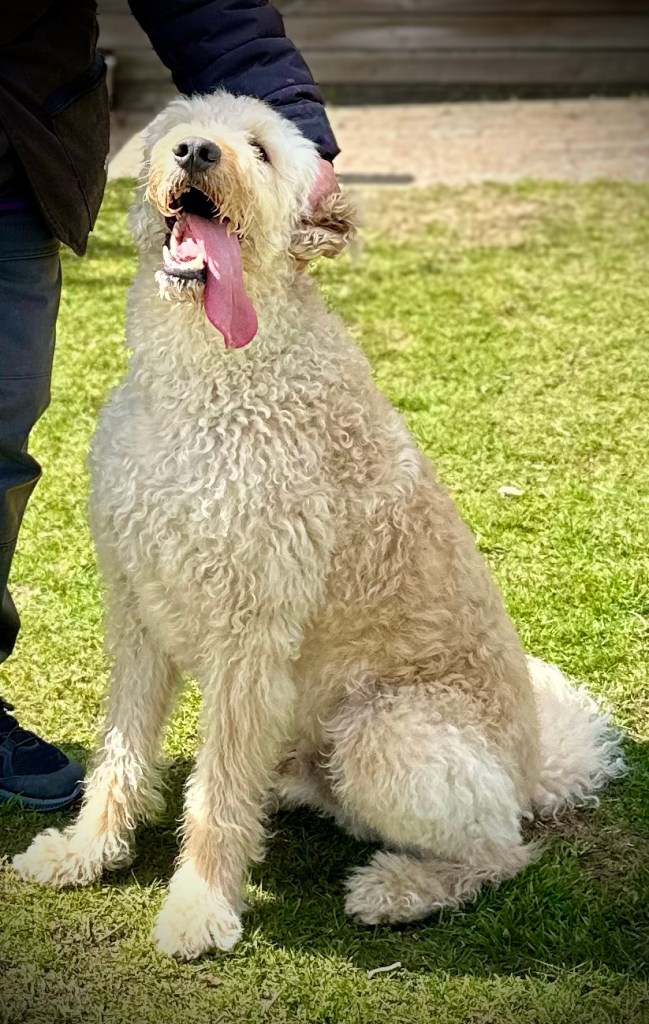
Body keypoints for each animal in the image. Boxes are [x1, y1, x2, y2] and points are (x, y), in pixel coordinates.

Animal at [14, 91, 624, 960]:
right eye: (176, 127)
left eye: (262, 152)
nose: (196, 153)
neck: (207, 375)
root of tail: (534, 767)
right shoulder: (135, 608)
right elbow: (120, 752)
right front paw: (88, 850)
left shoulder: (250, 632)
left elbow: (216, 798)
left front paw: (199, 906)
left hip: (385, 734)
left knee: (502, 849)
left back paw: (399, 890)